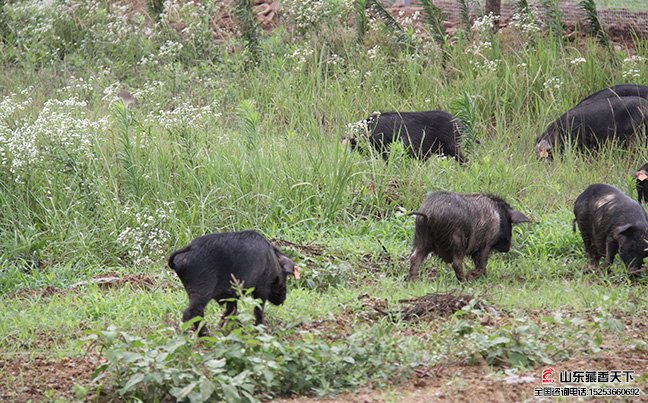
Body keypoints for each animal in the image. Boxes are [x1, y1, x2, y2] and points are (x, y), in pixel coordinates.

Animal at [167, 232, 298, 336]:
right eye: (285, 277)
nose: (283, 299)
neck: (273, 263)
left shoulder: (231, 295)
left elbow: (231, 310)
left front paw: (223, 328)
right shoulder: (262, 288)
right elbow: (258, 309)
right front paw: (260, 330)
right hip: (201, 289)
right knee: (191, 312)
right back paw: (203, 335)